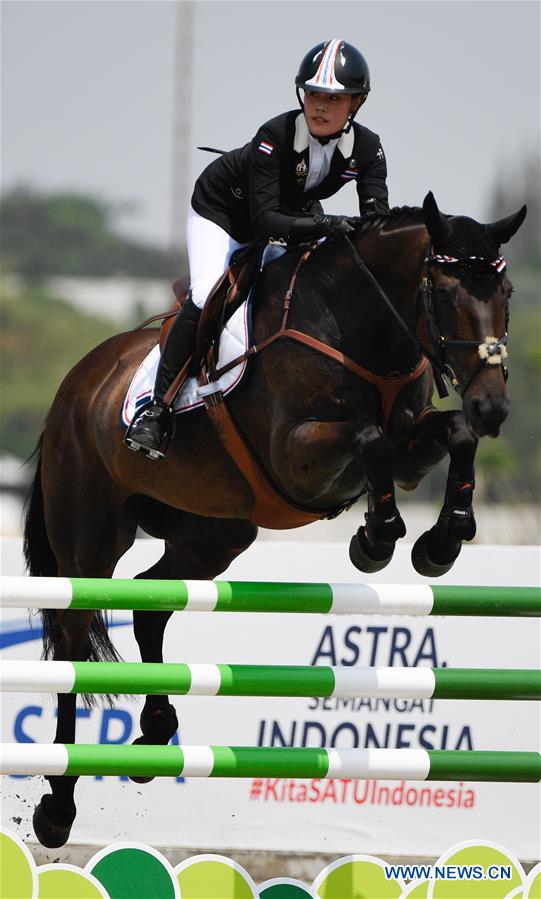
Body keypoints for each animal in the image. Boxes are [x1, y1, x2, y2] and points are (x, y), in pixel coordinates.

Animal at [24, 190, 524, 844]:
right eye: (442, 293)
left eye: (506, 292)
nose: (494, 405)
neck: (365, 327)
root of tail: (75, 385)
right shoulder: (298, 455)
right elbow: (369, 440)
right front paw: (378, 538)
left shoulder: (412, 448)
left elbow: (451, 434)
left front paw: (441, 542)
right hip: (90, 537)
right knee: (72, 642)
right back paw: (57, 806)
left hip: (214, 533)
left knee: (150, 606)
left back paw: (156, 732)